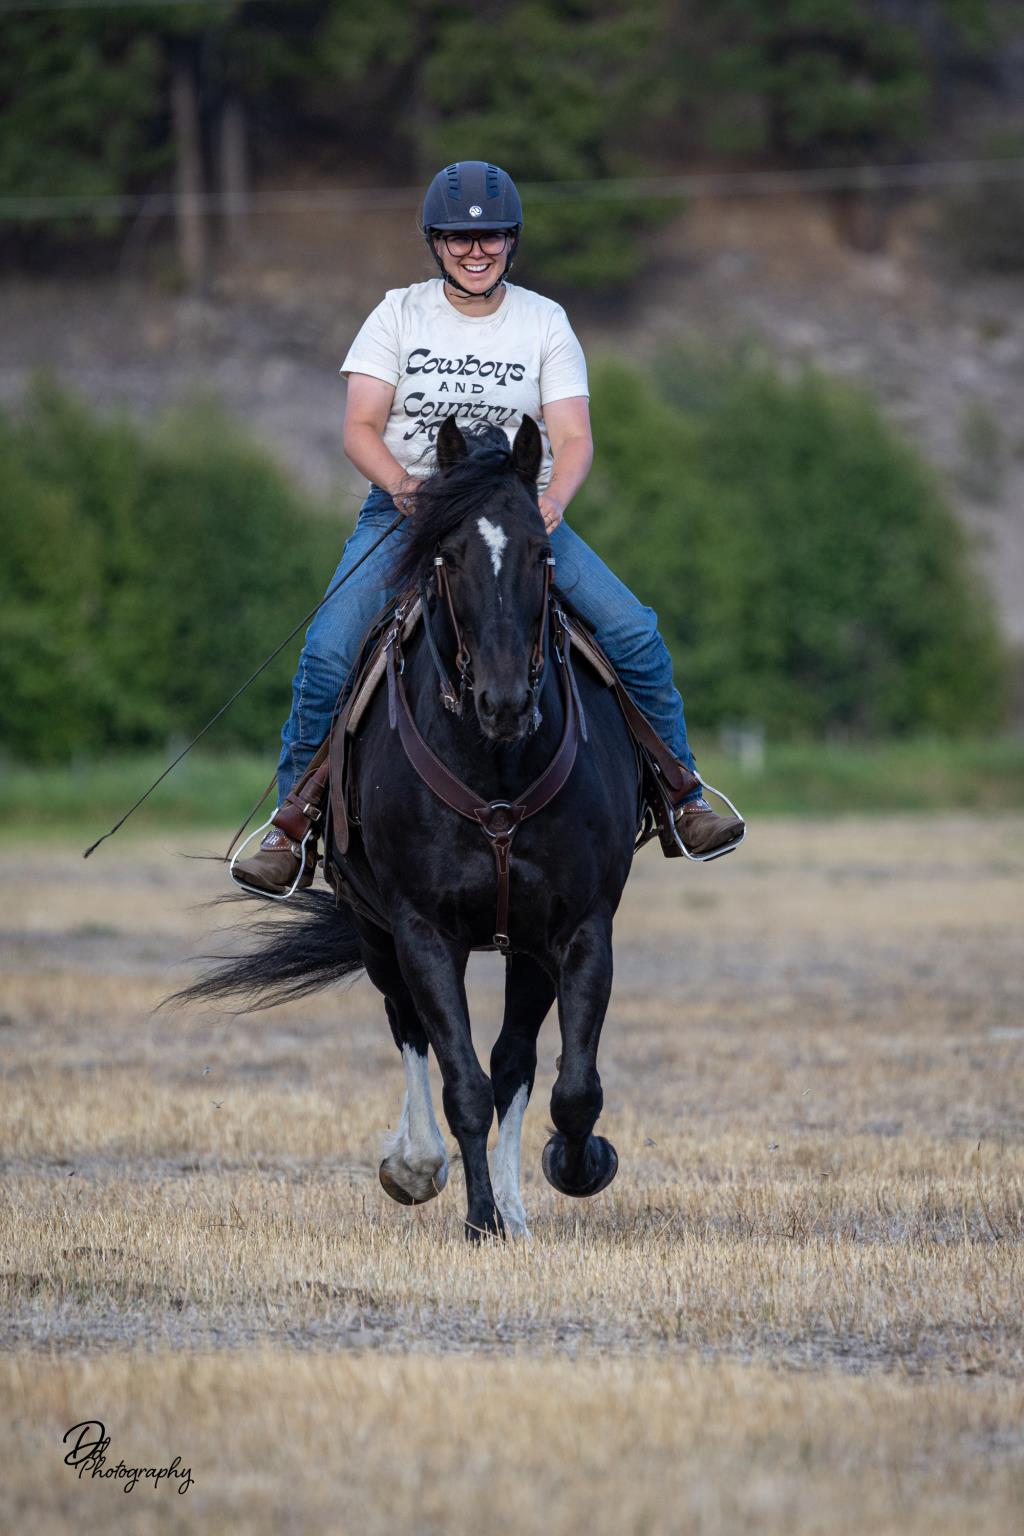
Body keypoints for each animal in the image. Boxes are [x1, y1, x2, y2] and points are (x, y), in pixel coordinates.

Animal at [181, 415, 641, 1240]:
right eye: (447, 556)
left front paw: (575, 1167)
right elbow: (463, 1082)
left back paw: (516, 1202)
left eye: (542, 551)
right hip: (377, 934)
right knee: (412, 1031)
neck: (496, 772)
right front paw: (478, 1218)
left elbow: (566, 1085)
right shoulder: (422, 930)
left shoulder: (575, 927)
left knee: (515, 1062)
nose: (501, 700)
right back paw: (417, 1164)